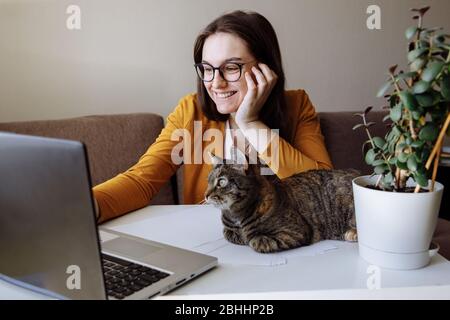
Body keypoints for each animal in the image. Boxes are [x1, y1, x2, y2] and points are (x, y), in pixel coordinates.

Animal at [206, 146, 360, 254]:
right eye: (209, 181)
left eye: (221, 182)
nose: (206, 195)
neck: (235, 215)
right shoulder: (228, 229)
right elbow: (228, 233)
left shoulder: (294, 232)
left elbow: (255, 240)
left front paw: (248, 237)